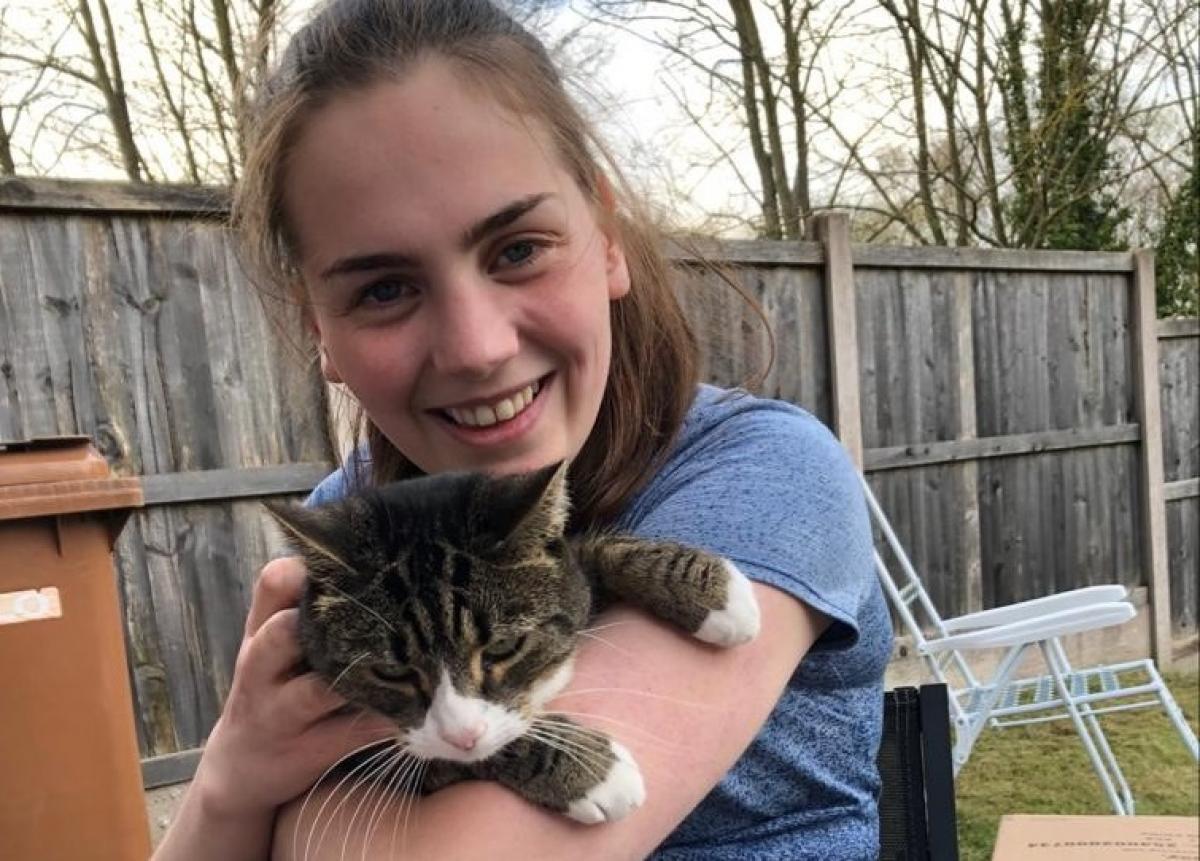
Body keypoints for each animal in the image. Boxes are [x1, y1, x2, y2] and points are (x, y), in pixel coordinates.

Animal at [270, 465, 758, 829]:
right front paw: (591, 770)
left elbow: (587, 552)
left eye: (504, 648)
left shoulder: (567, 574)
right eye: (391, 672)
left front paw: (711, 588)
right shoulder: (362, 759)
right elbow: (474, 748)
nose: (462, 735)